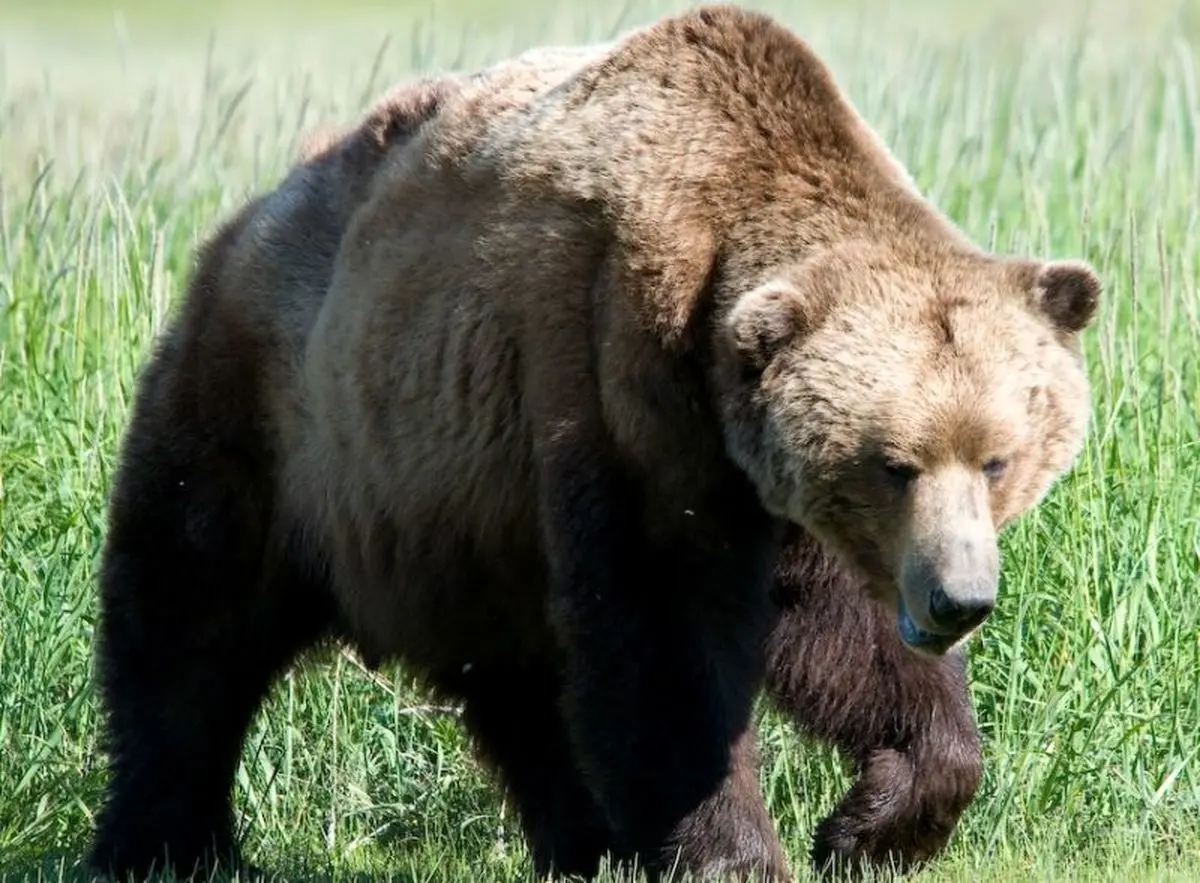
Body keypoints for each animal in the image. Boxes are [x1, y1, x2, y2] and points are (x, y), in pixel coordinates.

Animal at [82, 8, 1099, 883]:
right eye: (894, 464)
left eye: (999, 457)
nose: (958, 599)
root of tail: (250, 214)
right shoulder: (621, 381)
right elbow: (663, 639)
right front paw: (738, 852)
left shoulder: (770, 486)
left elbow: (844, 636)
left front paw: (871, 821)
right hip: (281, 420)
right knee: (188, 622)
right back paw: (170, 842)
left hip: (466, 518)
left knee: (519, 687)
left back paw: (583, 840)